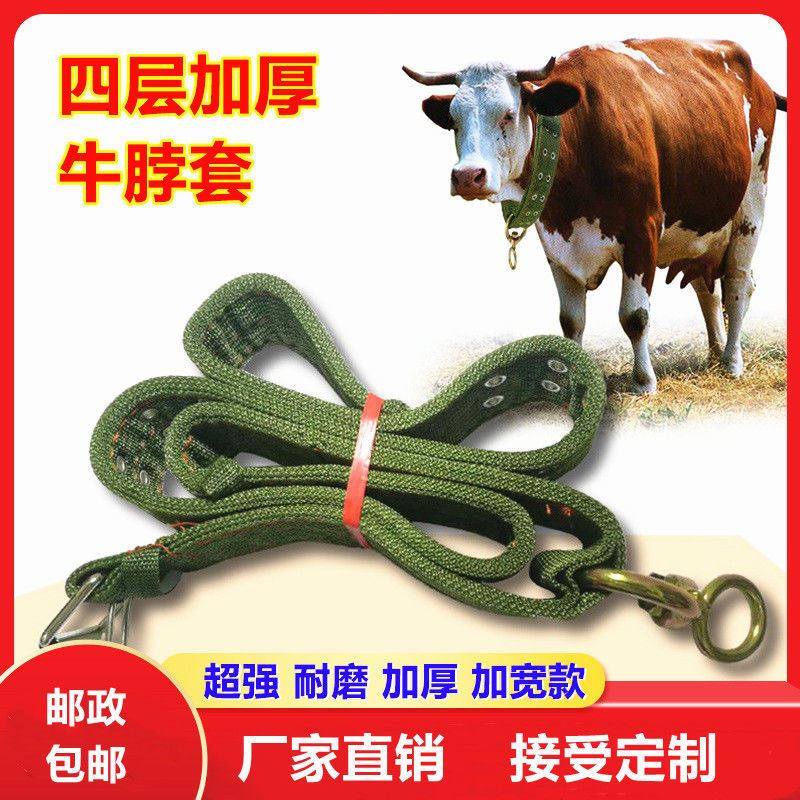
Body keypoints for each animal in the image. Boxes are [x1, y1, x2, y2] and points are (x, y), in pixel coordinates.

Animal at [404, 39, 786, 393]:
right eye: (454, 121)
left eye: (508, 115)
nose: (468, 176)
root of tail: (760, 81)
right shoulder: (557, 242)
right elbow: (570, 320)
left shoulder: (642, 232)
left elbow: (635, 316)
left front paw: (643, 382)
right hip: (700, 230)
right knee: (708, 290)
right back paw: (715, 351)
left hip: (751, 204)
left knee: (738, 284)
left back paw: (731, 361)